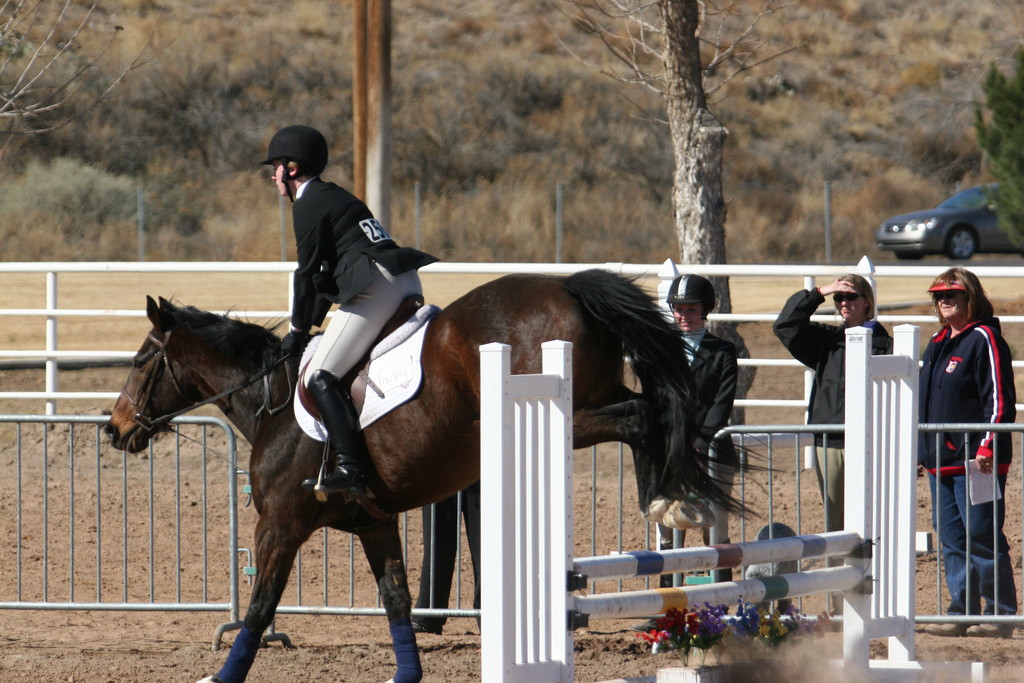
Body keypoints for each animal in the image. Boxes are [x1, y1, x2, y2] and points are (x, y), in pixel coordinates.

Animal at [105, 268, 737, 683]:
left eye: (139, 360)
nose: (114, 429)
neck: (272, 402)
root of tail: (566, 285)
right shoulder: (374, 523)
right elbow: (396, 600)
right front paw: (406, 675)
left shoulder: (280, 525)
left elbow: (260, 608)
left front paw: (223, 676)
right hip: (593, 394)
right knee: (654, 407)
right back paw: (670, 500)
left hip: (568, 410)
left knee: (642, 416)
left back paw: (663, 500)